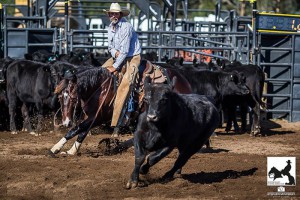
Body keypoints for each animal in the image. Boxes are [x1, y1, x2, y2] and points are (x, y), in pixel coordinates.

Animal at [48, 64, 191, 156]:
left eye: (73, 98)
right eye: (59, 97)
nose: (66, 122)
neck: (99, 88)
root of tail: (184, 80)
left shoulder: (99, 117)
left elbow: (76, 130)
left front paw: (56, 148)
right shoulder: (90, 116)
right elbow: (82, 132)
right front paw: (71, 150)